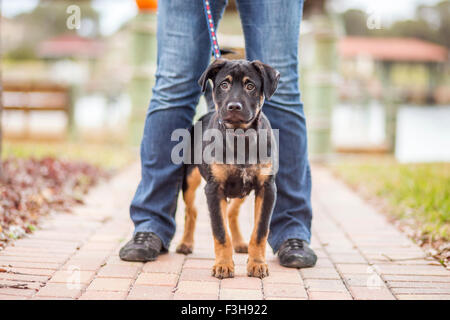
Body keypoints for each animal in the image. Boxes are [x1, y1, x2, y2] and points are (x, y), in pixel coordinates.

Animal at [178, 59, 280, 278]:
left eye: (250, 86)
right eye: (224, 85)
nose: (234, 106)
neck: (240, 137)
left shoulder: (267, 188)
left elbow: (260, 231)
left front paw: (257, 263)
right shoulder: (214, 189)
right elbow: (220, 231)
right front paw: (223, 265)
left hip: (242, 189)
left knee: (233, 212)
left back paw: (240, 243)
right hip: (190, 179)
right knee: (192, 211)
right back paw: (185, 243)